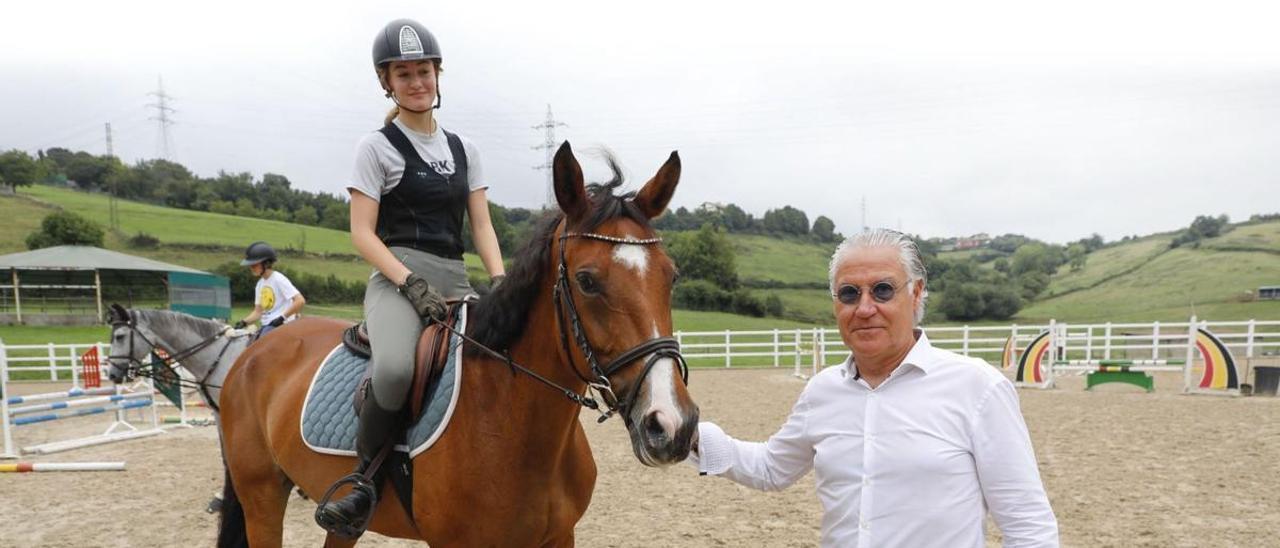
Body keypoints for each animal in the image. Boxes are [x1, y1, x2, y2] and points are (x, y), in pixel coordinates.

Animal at [220, 142, 701, 548]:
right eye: (586, 281)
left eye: (672, 275)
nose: (671, 425)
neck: (510, 419)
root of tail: (252, 354)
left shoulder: (559, 538)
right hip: (262, 496)